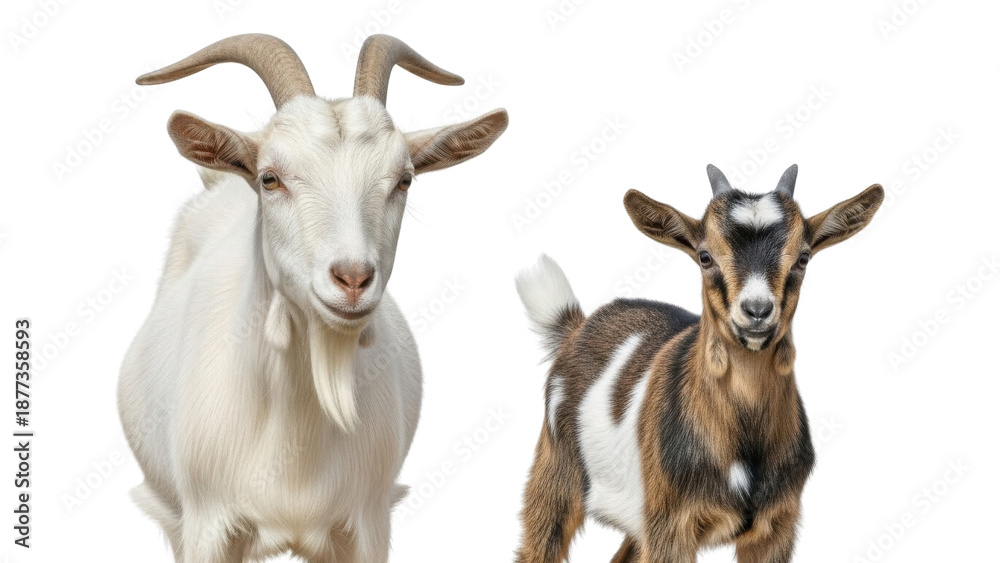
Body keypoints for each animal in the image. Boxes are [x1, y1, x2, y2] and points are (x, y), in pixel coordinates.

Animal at [514, 165, 883, 562]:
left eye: (803, 257)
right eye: (705, 256)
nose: (756, 311)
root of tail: (576, 326)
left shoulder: (778, 525)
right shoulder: (671, 525)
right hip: (556, 474)